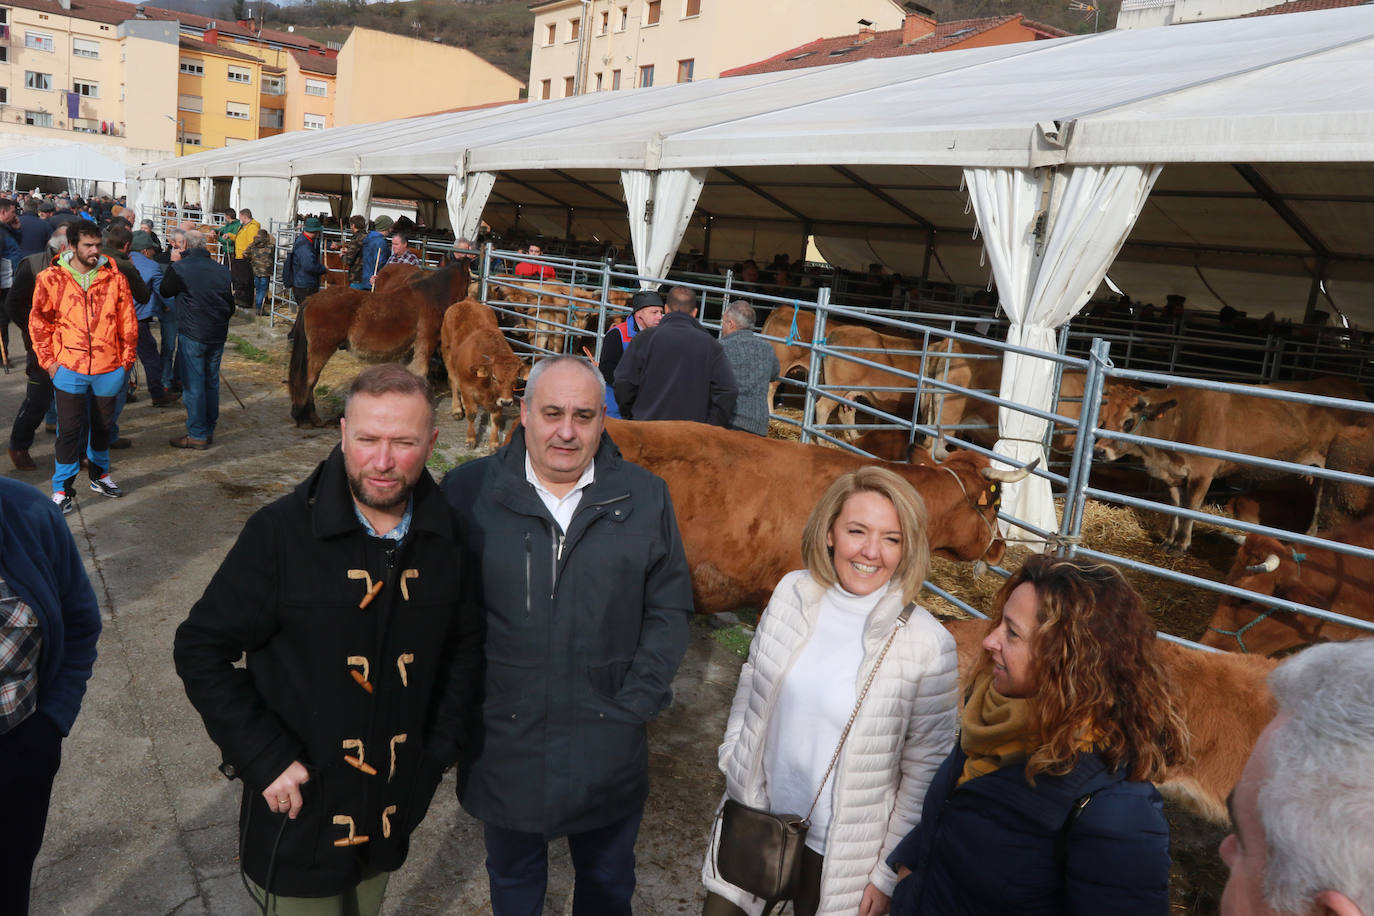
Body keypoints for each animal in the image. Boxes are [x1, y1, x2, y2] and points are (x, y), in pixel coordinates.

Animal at [439, 300, 524, 450]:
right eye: (494, 377)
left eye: (515, 380)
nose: (507, 402)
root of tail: (466, 301)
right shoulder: (467, 388)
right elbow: (472, 414)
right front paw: (471, 439)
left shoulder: (498, 399)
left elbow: (496, 418)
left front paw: (494, 443)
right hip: (447, 353)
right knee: (453, 381)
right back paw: (457, 409)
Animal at [1093, 379, 1363, 552]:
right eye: (1102, 420)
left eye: (1128, 422)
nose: (1098, 451)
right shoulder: (1174, 476)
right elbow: (1175, 508)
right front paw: (1168, 541)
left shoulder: (1202, 473)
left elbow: (1190, 509)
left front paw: (1181, 545)